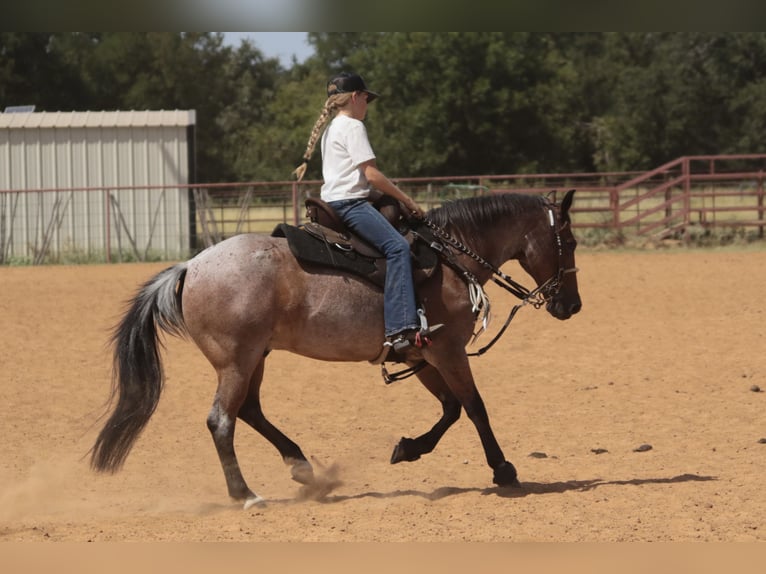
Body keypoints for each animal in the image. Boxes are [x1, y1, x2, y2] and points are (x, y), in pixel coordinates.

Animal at [90, 189, 581, 509]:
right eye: (571, 242)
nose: (572, 305)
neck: (449, 259)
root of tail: (191, 266)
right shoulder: (448, 351)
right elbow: (474, 406)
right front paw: (504, 469)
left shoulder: (421, 355)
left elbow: (451, 408)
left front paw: (408, 448)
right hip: (235, 361)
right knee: (221, 421)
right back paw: (246, 494)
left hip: (255, 358)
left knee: (249, 410)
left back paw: (302, 467)